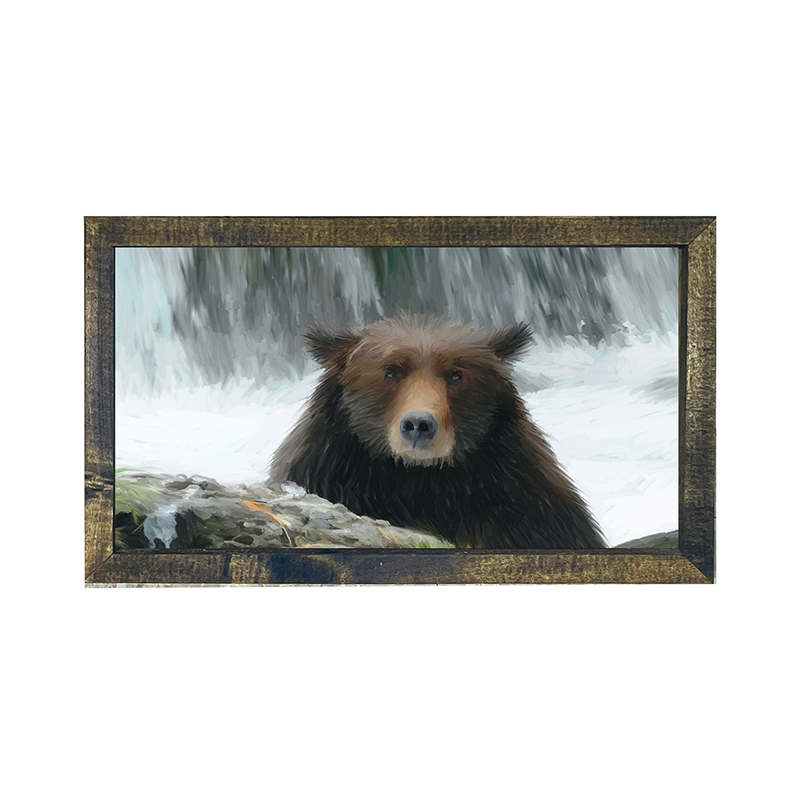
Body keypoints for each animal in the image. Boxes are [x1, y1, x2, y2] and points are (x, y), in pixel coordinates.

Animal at [270, 317, 606, 549]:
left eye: (456, 375)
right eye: (391, 371)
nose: (419, 424)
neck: (420, 479)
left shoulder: (522, 502)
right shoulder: (328, 470)